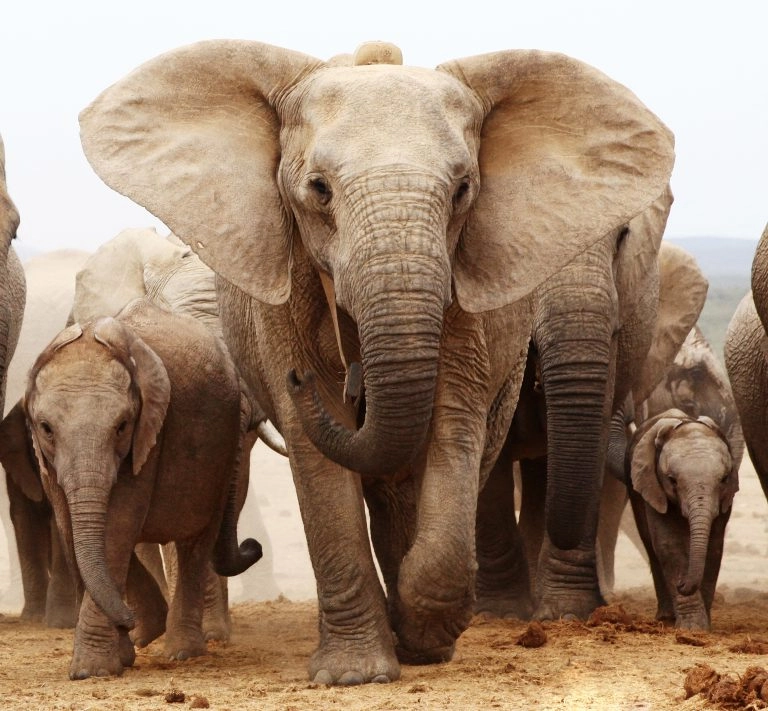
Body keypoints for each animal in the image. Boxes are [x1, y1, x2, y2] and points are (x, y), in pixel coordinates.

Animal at [0, 299, 262, 679]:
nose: (128, 619)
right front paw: (124, 652)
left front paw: (91, 671)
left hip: (220, 455)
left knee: (195, 543)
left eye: (122, 426)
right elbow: (73, 529)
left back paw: (182, 652)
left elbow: (117, 528)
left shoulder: (149, 437)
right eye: (46, 428)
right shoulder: (46, 459)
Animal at [78, 39, 675, 684]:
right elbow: (320, 464)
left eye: (463, 189)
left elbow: (453, 426)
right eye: (318, 189)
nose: (299, 380)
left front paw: (426, 639)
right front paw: (355, 673)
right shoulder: (285, 294)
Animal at [626, 409, 737, 630]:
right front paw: (692, 628)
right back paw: (666, 618)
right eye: (672, 480)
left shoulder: (725, 498)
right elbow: (670, 545)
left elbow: (714, 548)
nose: (681, 584)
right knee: (651, 547)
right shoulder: (653, 488)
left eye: (724, 479)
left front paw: (704, 626)